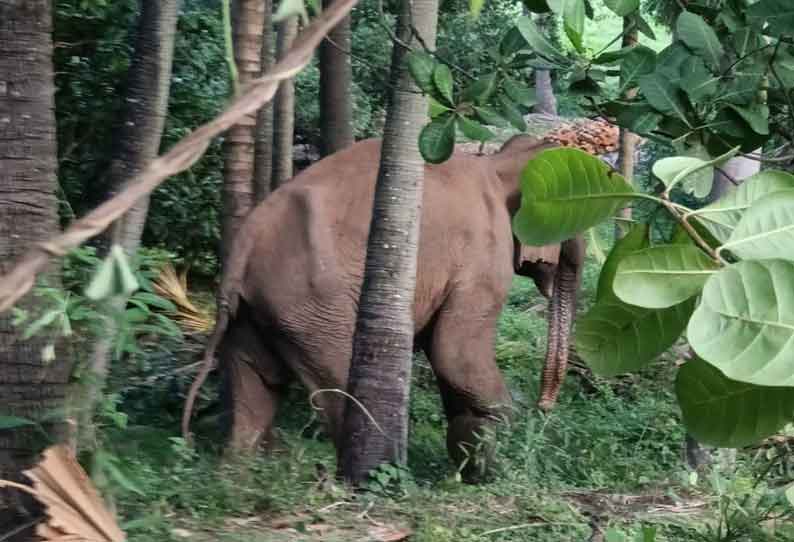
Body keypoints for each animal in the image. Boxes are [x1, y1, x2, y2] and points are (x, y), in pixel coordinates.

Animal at [183, 136, 584, 480]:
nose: (545, 407)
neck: (498, 164)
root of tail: (242, 250)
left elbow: (446, 360)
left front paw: (472, 457)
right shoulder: (482, 261)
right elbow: (454, 355)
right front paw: (508, 442)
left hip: (255, 312)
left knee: (255, 386)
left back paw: (235, 476)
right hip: (311, 308)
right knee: (340, 383)